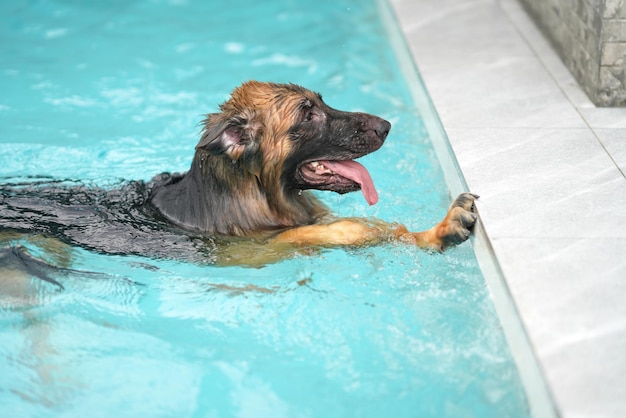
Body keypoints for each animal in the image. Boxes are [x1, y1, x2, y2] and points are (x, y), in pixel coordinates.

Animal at [0, 80, 472, 276]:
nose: (386, 126)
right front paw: (360, 229)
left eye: (322, 101)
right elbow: (320, 232)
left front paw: (437, 231)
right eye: (307, 114)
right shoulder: (247, 255)